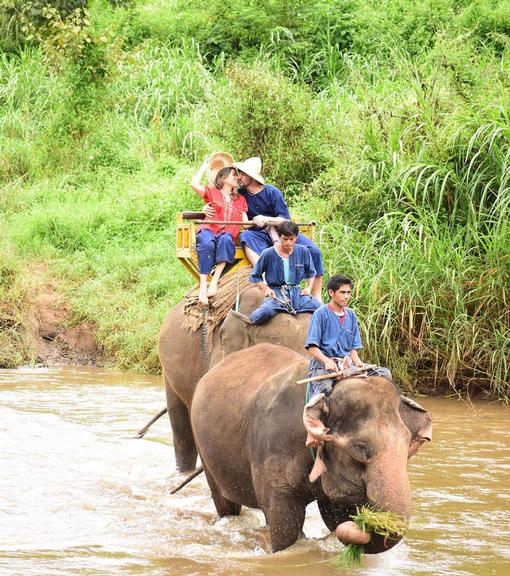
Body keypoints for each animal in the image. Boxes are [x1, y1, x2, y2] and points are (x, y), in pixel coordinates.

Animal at [190, 342, 430, 552]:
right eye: (360, 447)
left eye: (408, 447)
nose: (362, 521)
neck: (330, 392)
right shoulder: (273, 445)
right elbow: (285, 525)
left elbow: (334, 515)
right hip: (203, 445)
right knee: (226, 503)